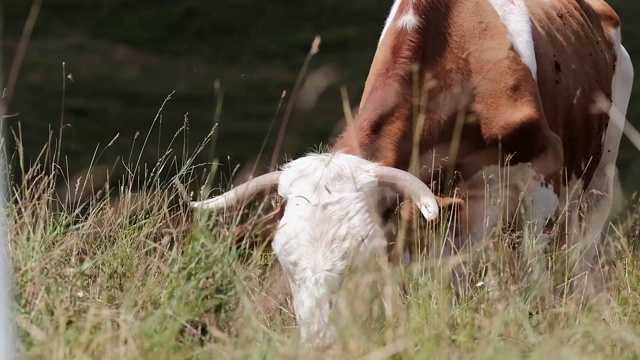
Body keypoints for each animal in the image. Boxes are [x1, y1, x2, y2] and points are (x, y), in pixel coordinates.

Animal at [189, 0, 632, 348]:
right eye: (285, 260)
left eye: (363, 259)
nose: (321, 343)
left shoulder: (542, 176)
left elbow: (536, 270)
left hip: (598, 175)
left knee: (579, 248)